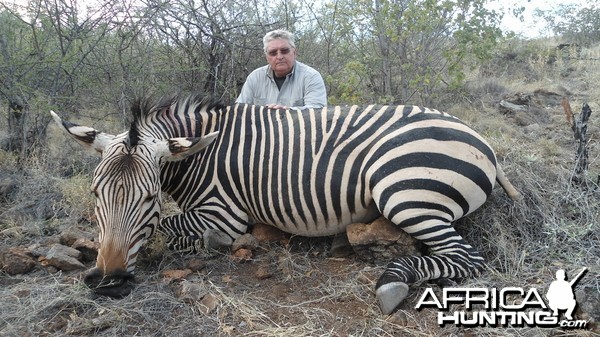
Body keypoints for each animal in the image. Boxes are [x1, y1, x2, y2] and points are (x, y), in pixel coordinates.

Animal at [50, 93, 520, 314]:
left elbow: (167, 230)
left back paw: (392, 281)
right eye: (95, 194)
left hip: (403, 194)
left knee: (465, 258)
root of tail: (482, 142)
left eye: (148, 198)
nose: (109, 281)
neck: (199, 155)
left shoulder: (224, 213)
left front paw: (209, 244)